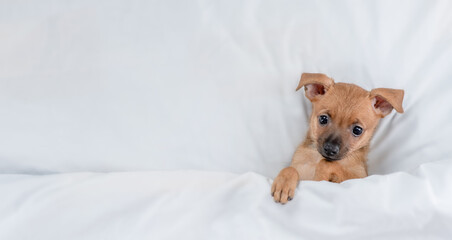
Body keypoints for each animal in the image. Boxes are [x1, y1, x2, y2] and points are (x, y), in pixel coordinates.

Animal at [270, 73, 404, 204]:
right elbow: (290, 168)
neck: (316, 159)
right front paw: (283, 184)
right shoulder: (300, 166)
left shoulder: (358, 177)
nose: (330, 149)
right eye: (323, 119)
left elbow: (327, 164)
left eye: (357, 130)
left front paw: (320, 176)